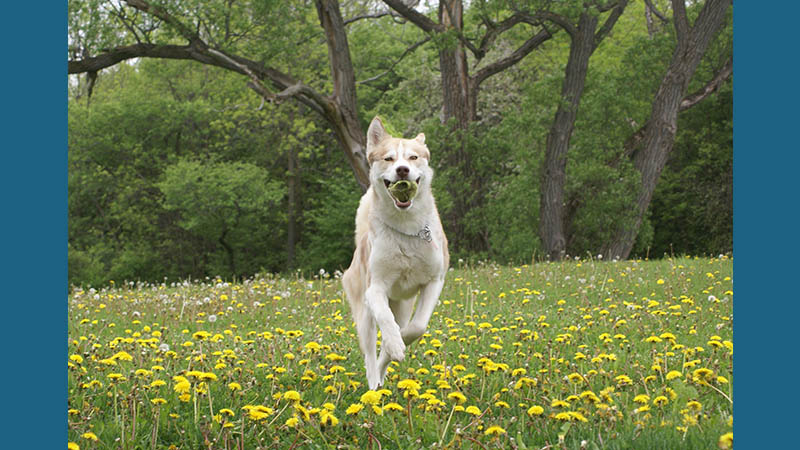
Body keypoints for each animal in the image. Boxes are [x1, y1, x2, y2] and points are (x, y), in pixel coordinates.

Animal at [340, 116, 446, 390]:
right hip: (363, 313)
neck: (406, 227)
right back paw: (373, 385)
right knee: (369, 353)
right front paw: (395, 344)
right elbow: (386, 322)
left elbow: (416, 327)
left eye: (413, 157)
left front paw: (397, 344)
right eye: (388, 159)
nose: (402, 170)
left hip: (403, 304)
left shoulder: (434, 281)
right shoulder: (375, 288)